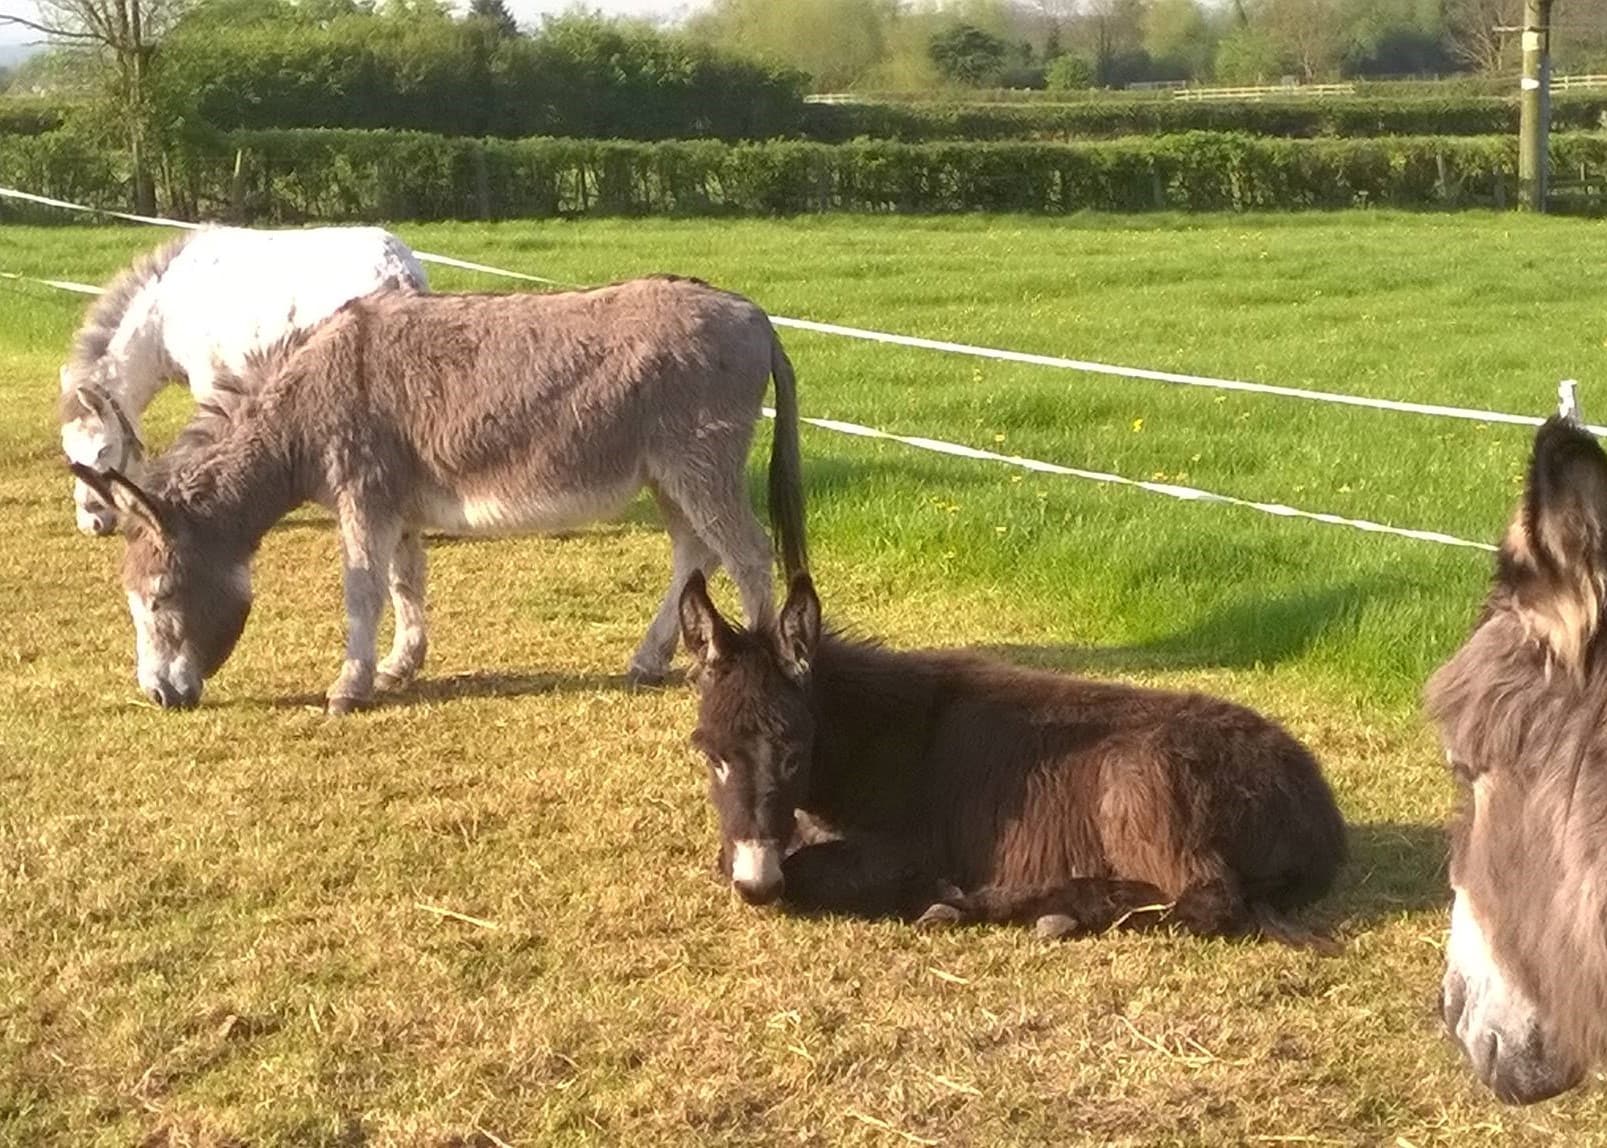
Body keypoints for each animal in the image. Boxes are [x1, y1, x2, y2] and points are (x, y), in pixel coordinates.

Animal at [60, 225, 430, 533]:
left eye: (104, 449)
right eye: (69, 452)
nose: (92, 523)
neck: (164, 316)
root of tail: (396, 266)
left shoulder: (211, 386)